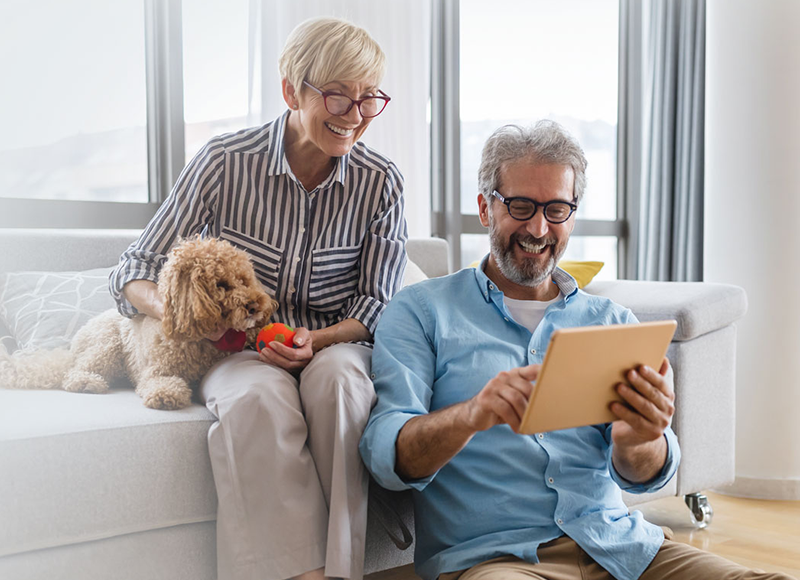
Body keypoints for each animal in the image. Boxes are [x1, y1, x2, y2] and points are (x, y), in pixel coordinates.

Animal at [0, 238, 278, 410]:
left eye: (244, 279)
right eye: (221, 284)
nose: (255, 305)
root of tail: (72, 347)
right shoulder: (157, 370)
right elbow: (161, 382)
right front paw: (166, 395)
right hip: (108, 345)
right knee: (76, 371)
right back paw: (86, 383)